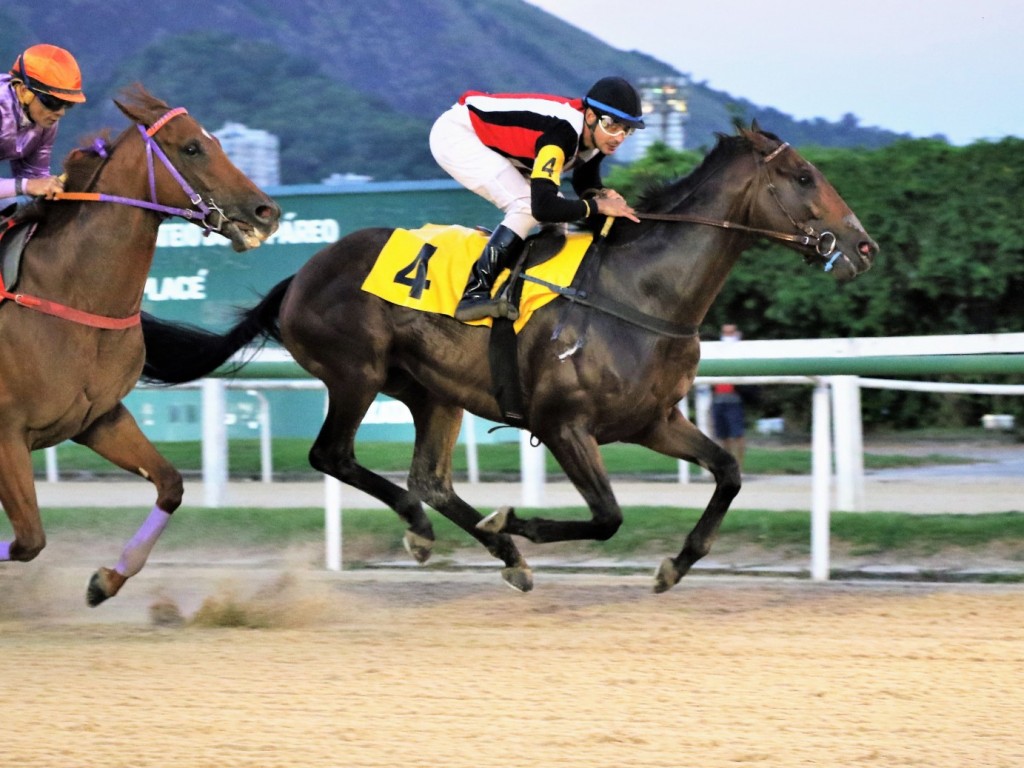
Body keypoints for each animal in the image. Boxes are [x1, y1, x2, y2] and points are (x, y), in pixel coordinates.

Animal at [0, 82, 280, 602]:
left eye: (216, 141)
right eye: (191, 147)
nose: (266, 212)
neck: (69, 293)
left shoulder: (100, 418)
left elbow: (170, 484)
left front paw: (105, 580)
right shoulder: (7, 433)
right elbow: (29, 540)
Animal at [140, 126, 876, 593]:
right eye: (804, 176)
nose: (863, 246)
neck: (640, 290)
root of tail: (301, 274)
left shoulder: (653, 420)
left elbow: (727, 471)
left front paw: (676, 564)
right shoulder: (563, 423)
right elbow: (608, 517)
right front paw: (515, 519)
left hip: (433, 391)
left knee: (430, 478)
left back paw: (494, 551)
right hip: (358, 374)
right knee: (336, 455)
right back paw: (432, 530)